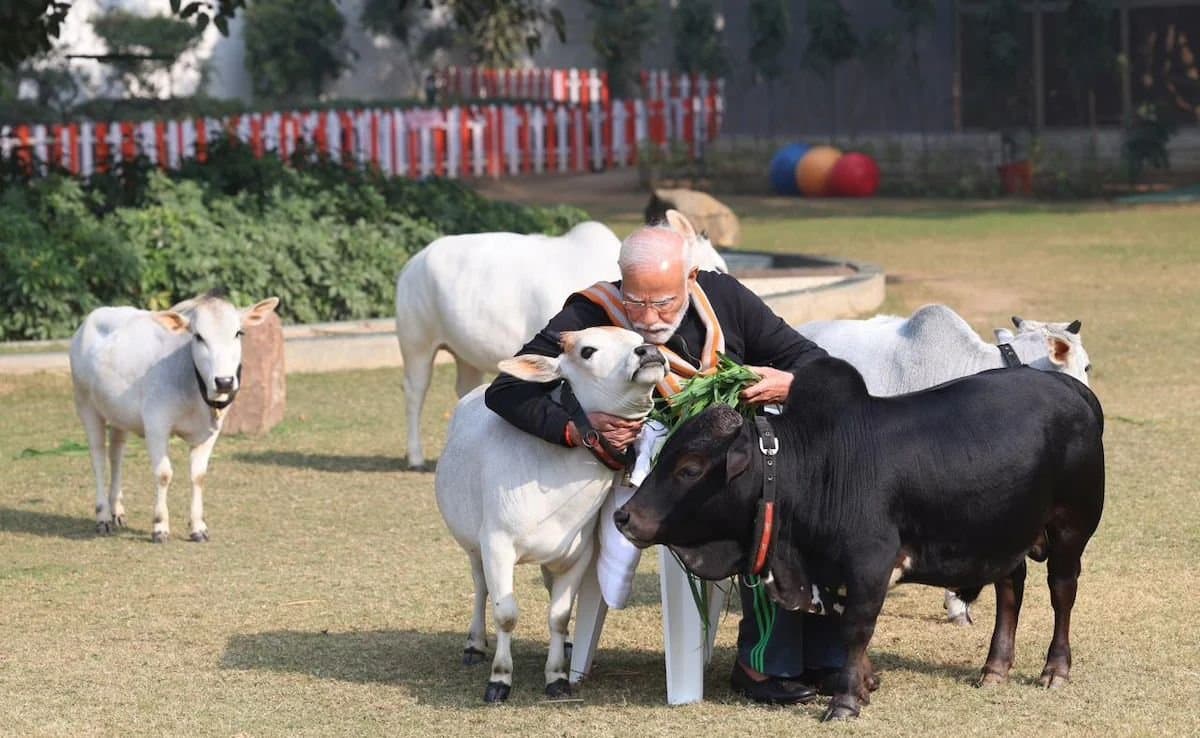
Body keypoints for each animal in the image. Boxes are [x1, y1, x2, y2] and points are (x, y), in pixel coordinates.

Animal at [69, 291, 279, 542]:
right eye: (198, 336)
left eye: (238, 333)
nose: (224, 381)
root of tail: (92, 318)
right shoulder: (156, 424)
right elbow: (163, 474)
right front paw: (160, 527)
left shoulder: (210, 432)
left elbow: (199, 476)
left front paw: (198, 527)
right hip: (86, 404)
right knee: (98, 457)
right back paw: (102, 517)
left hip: (118, 413)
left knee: (116, 454)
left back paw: (117, 511)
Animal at [395, 211, 726, 469]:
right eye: (719, 265)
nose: (721, 279)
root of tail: (414, 262)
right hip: (417, 343)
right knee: (414, 391)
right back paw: (416, 456)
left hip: (464, 356)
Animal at [435, 326, 667, 702]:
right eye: (588, 351)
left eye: (637, 338)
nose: (648, 352)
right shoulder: (496, 545)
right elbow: (506, 614)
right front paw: (499, 680)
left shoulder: (578, 553)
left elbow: (559, 616)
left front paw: (557, 677)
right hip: (472, 544)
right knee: (481, 586)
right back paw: (474, 644)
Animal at [615, 357, 1105, 721]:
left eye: (690, 468)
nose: (625, 516)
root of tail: (1070, 388)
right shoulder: (831, 572)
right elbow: (842, 624)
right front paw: (865, 683)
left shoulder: (870, 563)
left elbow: (856, 627)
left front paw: (846, 700)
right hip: (1006, 533)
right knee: (1010, 589)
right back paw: (995, 667)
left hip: (1070, 529)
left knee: (1062, 592)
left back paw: (1055, 669)